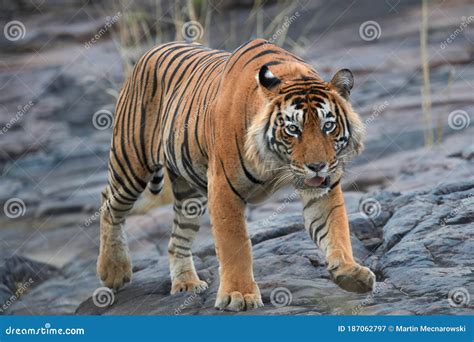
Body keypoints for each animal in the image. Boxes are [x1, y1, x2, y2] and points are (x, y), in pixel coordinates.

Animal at [98, 38, 376, 312]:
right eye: (293, 129)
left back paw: (186, 283)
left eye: (328, 126)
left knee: (177, 237)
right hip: (131, 163)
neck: (276, 163)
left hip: (189, 192)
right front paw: (239, 295)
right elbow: (235, 244)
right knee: (109, 205)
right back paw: (113, 270)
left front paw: (350, 273)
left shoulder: (323, 190)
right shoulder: (223, 188)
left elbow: (335, 228)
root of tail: (151, 50)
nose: (317, 166)